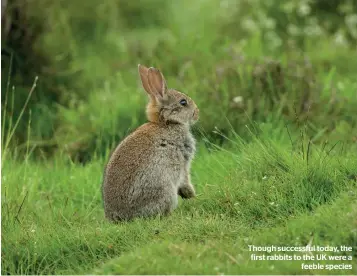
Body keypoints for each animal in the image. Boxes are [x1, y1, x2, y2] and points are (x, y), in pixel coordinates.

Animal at [101, 64, 199, 222]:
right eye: (183, 102)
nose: (197, 112)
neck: (166, 123)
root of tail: (122, 216)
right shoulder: (182, 160)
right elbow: (185, 178)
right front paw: (191, 194)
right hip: (163, 187)